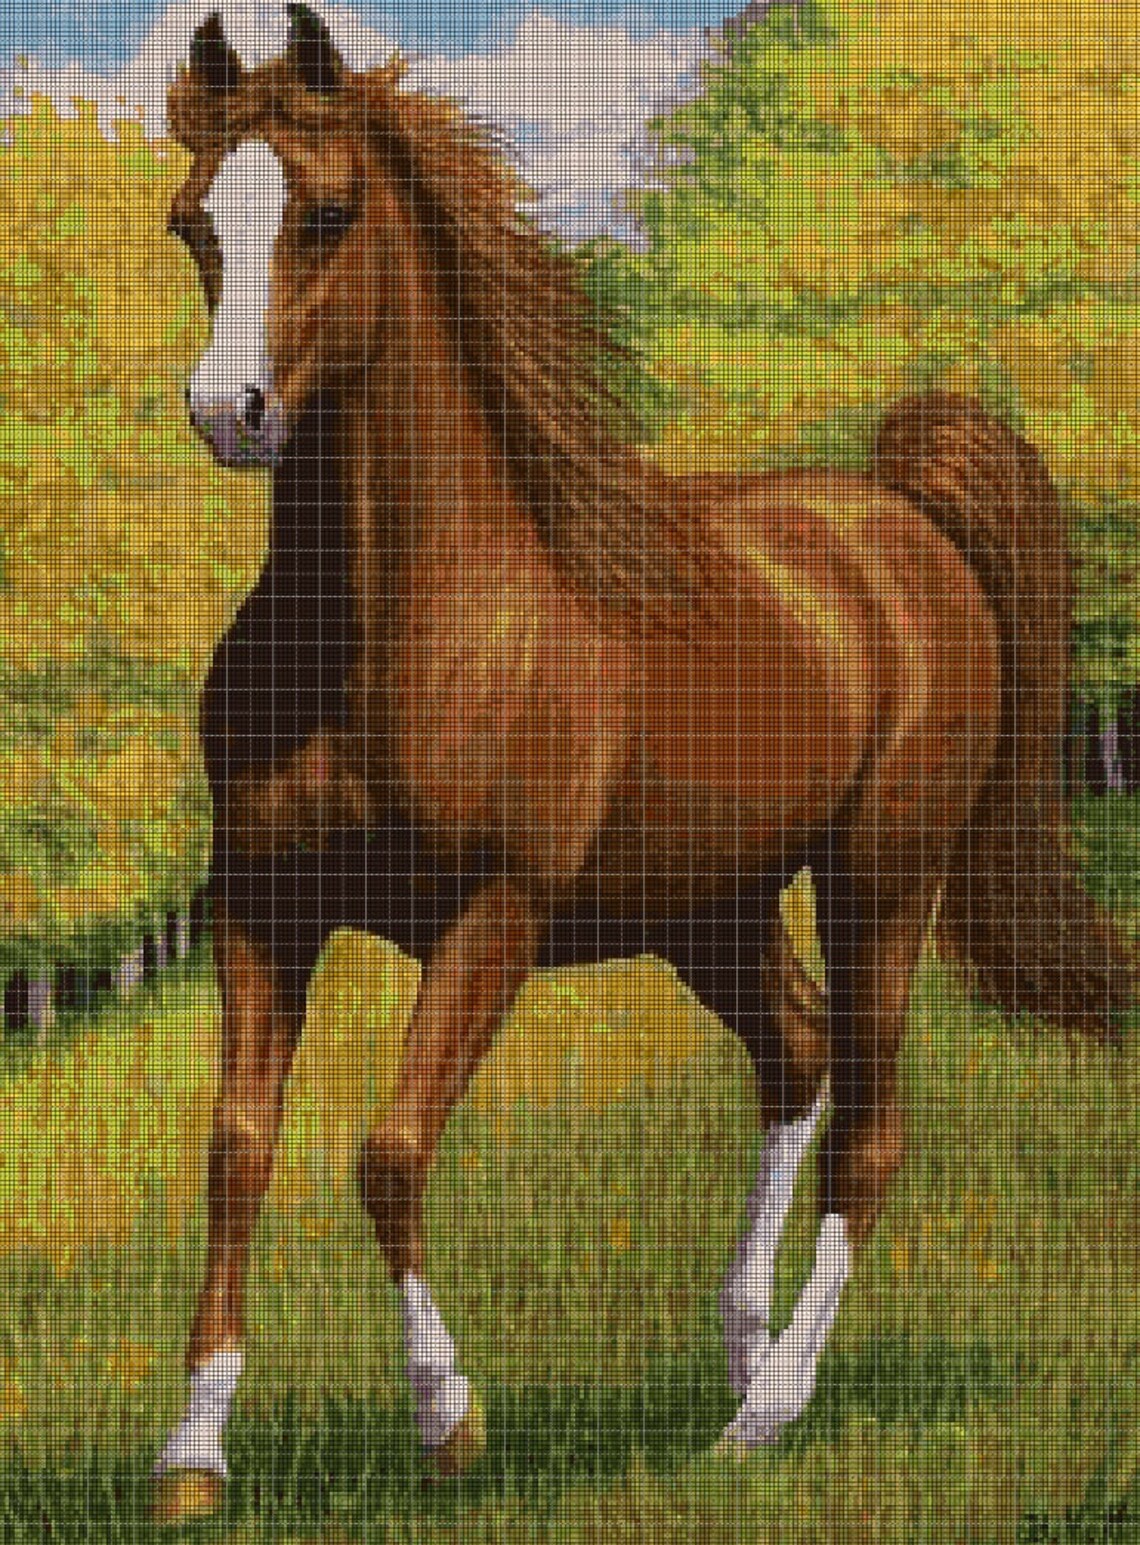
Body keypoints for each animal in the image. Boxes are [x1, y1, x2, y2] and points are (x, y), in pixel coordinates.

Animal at [150, 5, 1135, 1524]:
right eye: (195, 222)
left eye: (327, 213)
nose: (229, 411)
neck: (392, 630)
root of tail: (899, 514)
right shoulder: (262, 908)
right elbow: (236, 1151)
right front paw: (192, 1455)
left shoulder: (495, 913)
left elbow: (387, 1153)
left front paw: (448, 1419)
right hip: (706, 907)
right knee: (797, 1057)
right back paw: (738, 1356)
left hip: (880, 877)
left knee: (868, 1128)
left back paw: (766, 1412)